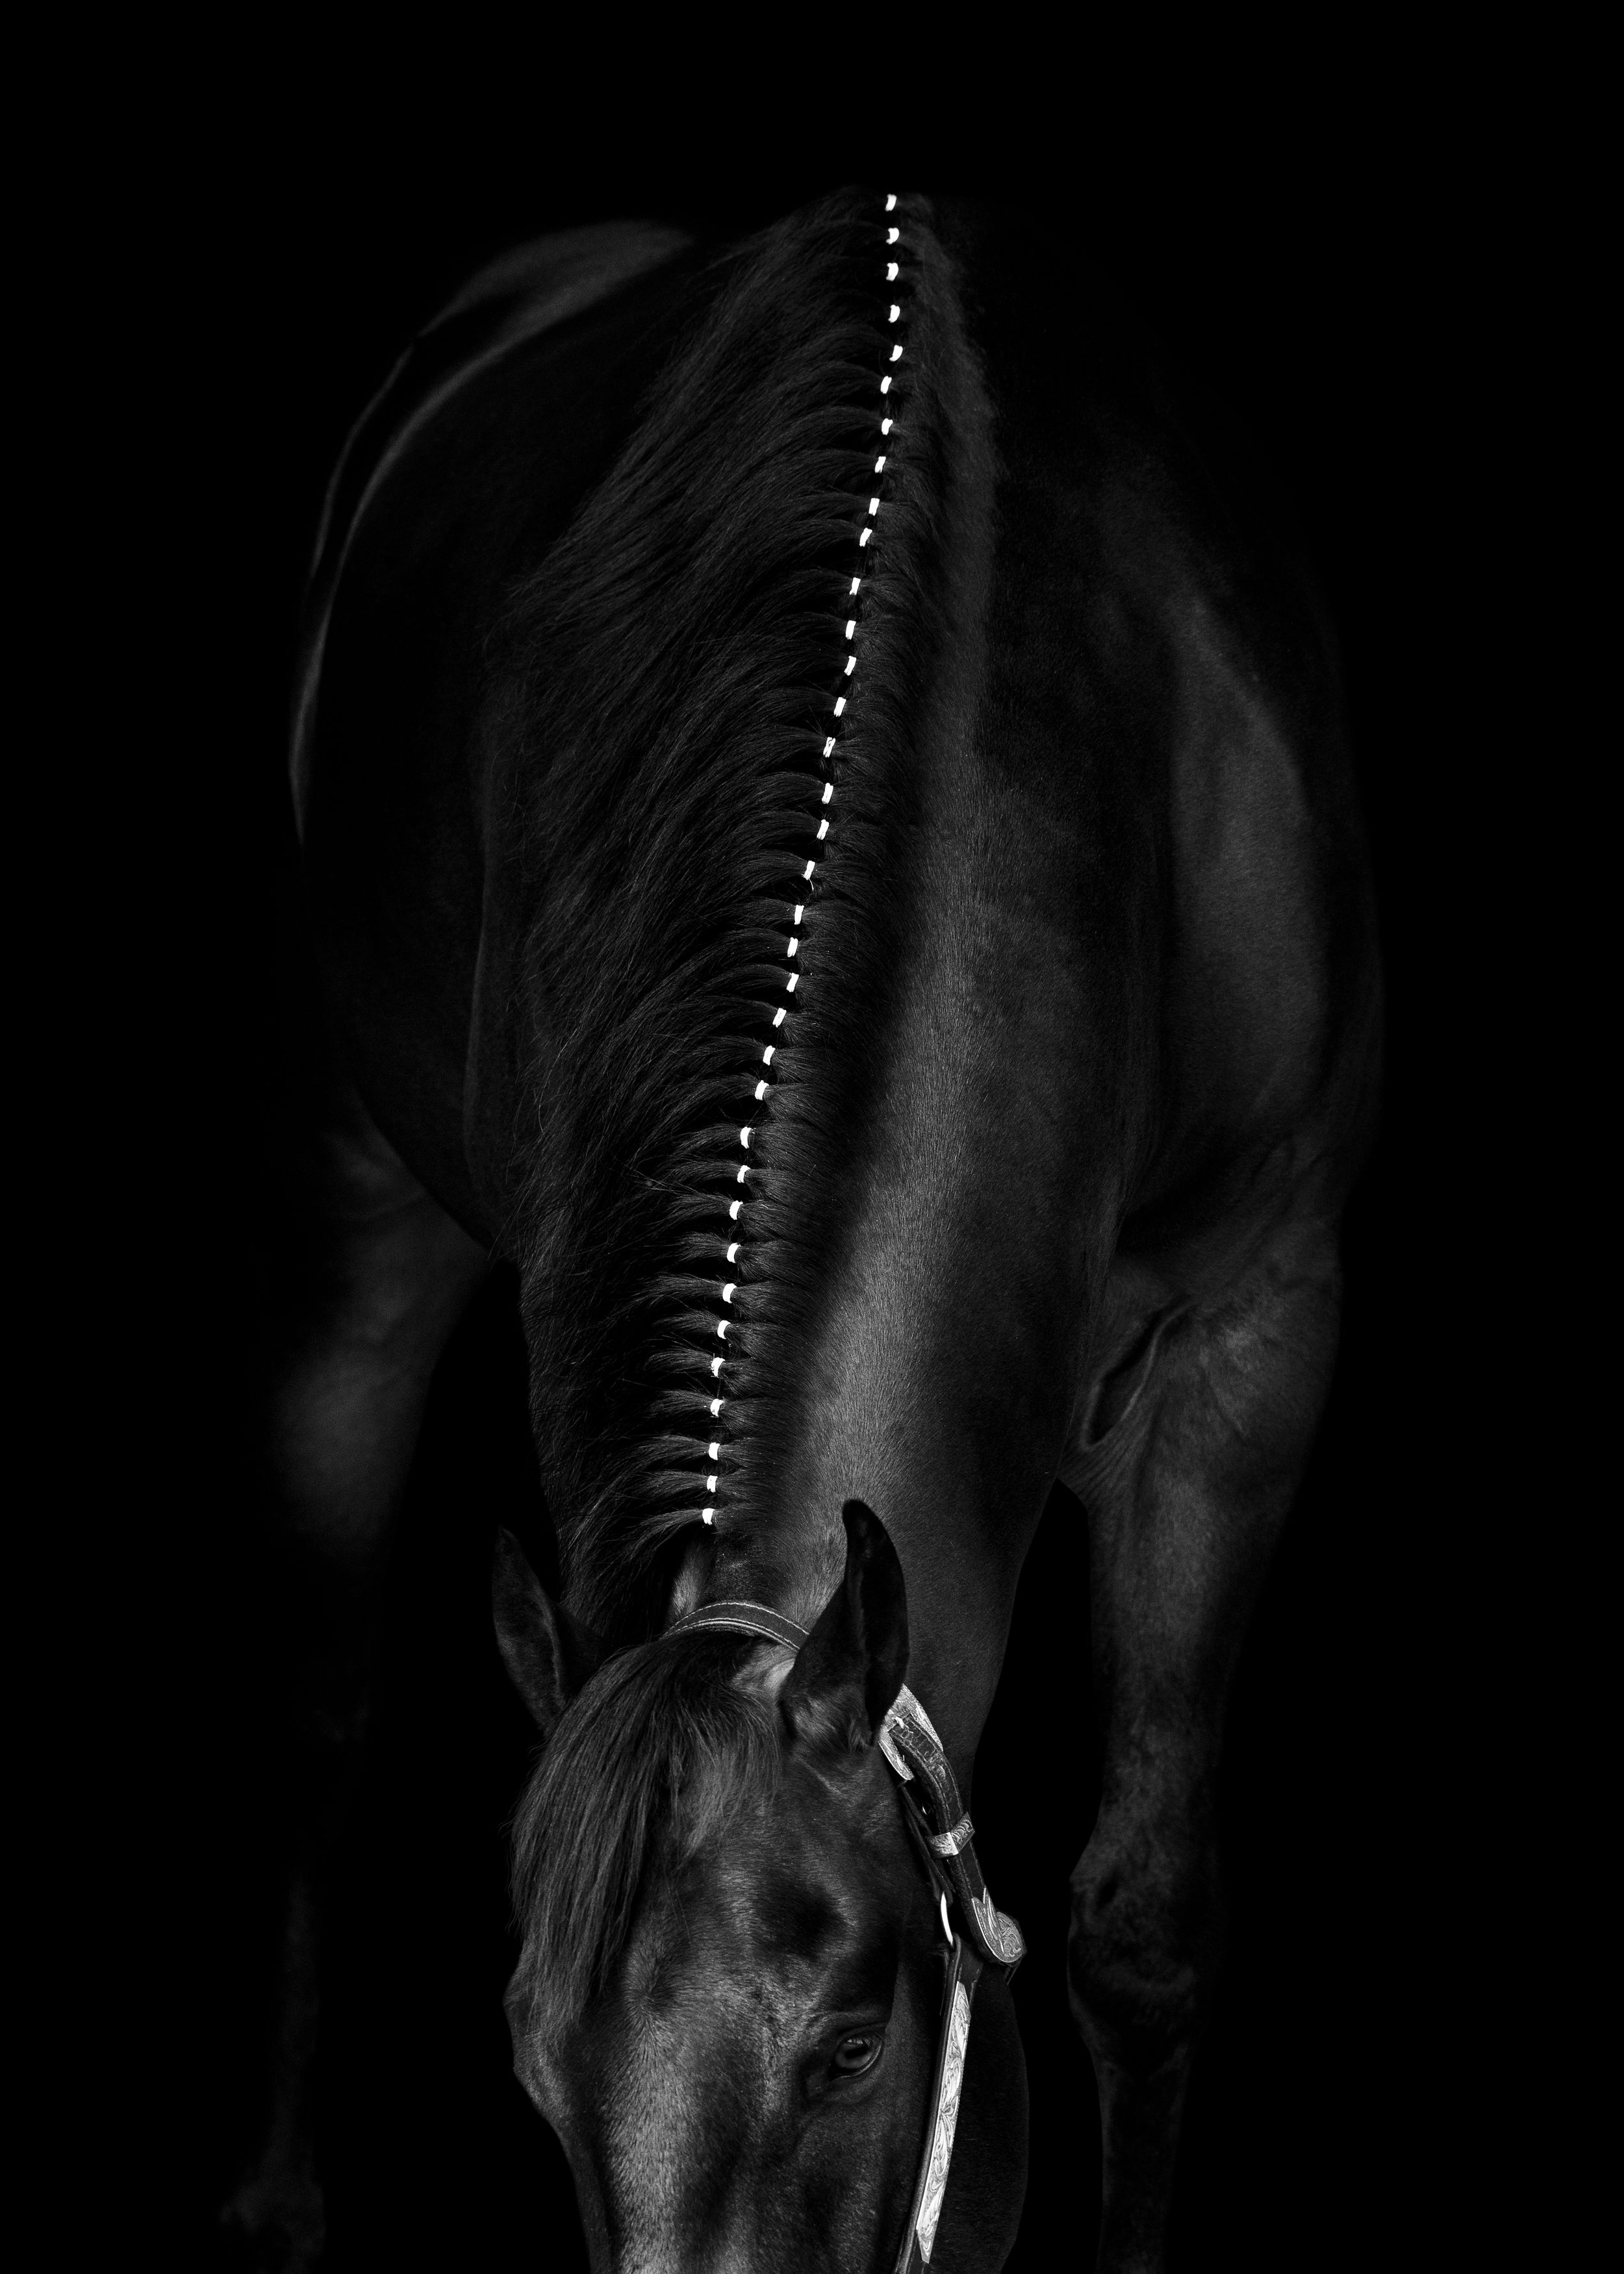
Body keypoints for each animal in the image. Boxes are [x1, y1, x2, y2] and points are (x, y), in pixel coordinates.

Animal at [225, 187, 1381, 2272]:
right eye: (534, 2073)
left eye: (849, 2042)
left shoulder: (1260, 1326)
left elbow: (1146, 1923)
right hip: (345, 1198)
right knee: (313, 1704)